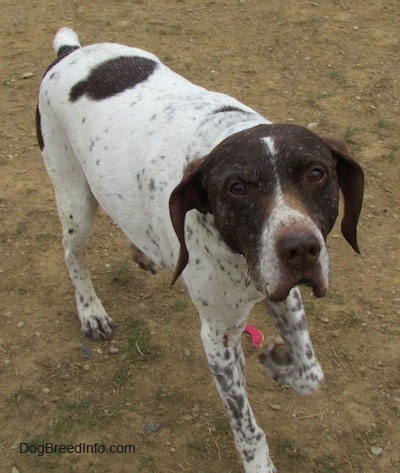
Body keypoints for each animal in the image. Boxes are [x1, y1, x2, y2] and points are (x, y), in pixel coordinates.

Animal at [36, 28, 364, 472]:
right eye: (237, 187)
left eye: (316, 174)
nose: (301, 249)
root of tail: (68, 52)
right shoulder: (219, 338)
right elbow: (247, 428)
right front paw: (259, 464)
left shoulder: (282, 291)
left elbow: (312, 373)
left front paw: (280, 363)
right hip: (74, 200)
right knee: (73, 255)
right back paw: (91, 312)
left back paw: (143, 251)